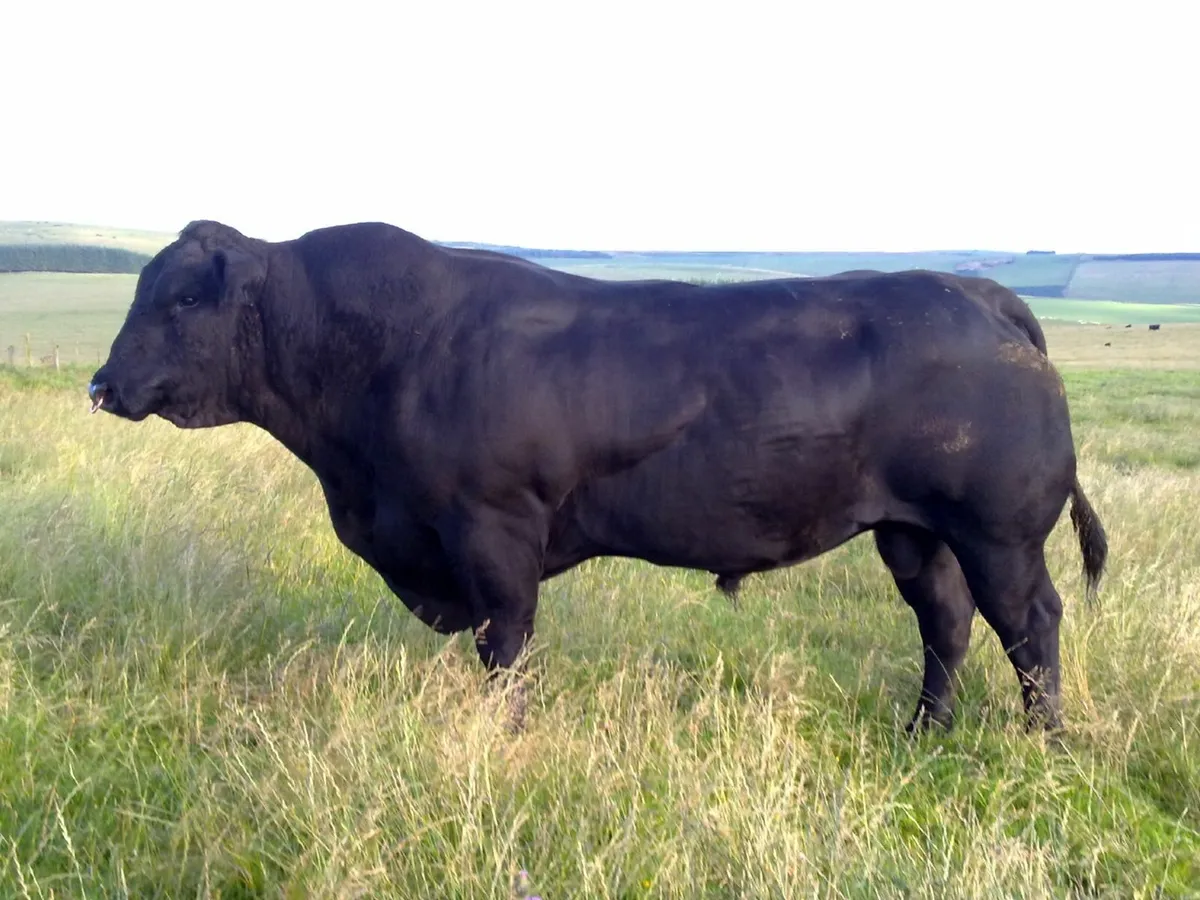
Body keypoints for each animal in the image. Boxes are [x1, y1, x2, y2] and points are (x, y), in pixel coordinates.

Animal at [89, 220, 1107, 733]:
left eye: (185, 297)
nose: (102, 383)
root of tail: (975, 290)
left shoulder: (494, 530)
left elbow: (505, 647)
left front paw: (503, 739)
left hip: (998, 532)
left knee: (1031, 625)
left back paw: (1041, 740)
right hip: (913, 531)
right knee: (947, 623)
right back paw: (924, 731)